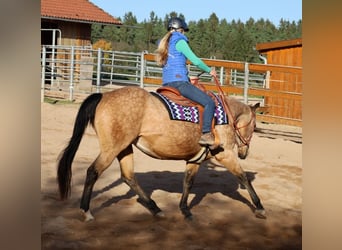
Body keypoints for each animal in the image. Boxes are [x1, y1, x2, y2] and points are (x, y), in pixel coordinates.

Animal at [56, 83, 266, 222]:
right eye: (255, 126)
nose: (244, 152)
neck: (225, 116)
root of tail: (102, 96)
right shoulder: (225, 154)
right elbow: (243, 177)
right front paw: (260, 207)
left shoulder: (195, 160)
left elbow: (188, 182)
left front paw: (185, 210)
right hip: (111, 148)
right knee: (93, 171)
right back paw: (86, 211)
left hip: (124, 148)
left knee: (128, 176)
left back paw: (155, 208)